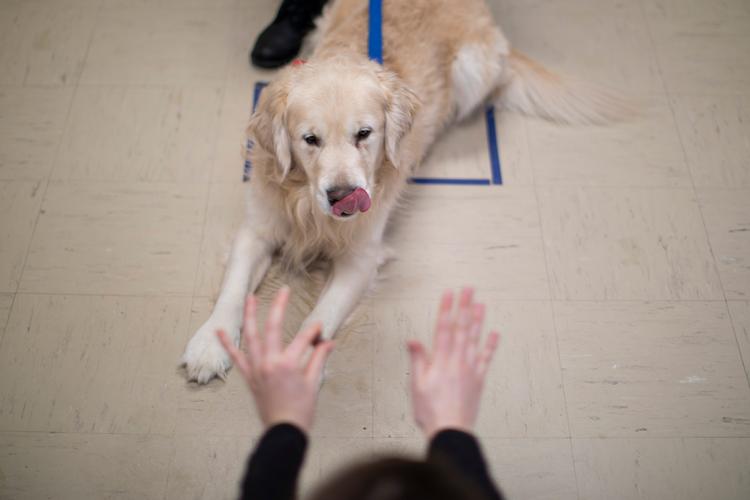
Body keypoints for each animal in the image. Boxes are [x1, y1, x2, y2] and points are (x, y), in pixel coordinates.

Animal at [182, 0, 628, 382]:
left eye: (364, 134)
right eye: (310, 139)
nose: (342, 196)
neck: (305, 204)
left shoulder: (361, 258)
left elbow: (319, 317)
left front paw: (298, 362)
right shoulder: (257, 230)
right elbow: (233, 289)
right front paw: (209, 344)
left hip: (473, 68)